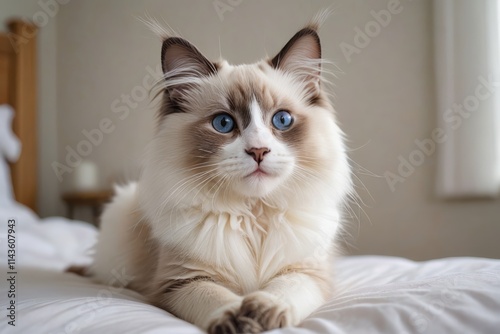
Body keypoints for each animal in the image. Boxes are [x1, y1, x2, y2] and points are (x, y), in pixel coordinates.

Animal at [87, 18, 352, 334]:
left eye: (282, 120)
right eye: (223, 123)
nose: (258, 150)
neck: (253, 215)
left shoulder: (307, 272)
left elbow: (283, 290)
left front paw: (261, 313)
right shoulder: (181, 282)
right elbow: (216, 298)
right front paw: (236, 319)